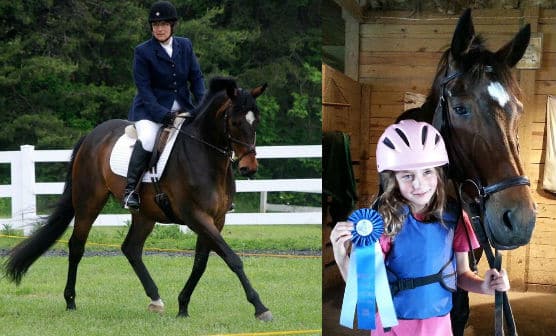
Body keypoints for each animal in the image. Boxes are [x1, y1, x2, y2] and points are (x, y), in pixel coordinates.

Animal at [3, 76, 274, 320]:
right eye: (236, 122)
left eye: (257, 121)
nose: (249, 168)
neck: (206, 157)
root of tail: (91, 136)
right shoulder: (196, 216)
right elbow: (232, 258)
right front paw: (260, 307)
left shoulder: (216, 219)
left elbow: (201, 263)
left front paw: (183, 305)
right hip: (89, 202)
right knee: (77, 246)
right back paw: (70, 300)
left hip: (145, 213)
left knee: (131, 249)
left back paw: (155, 299)